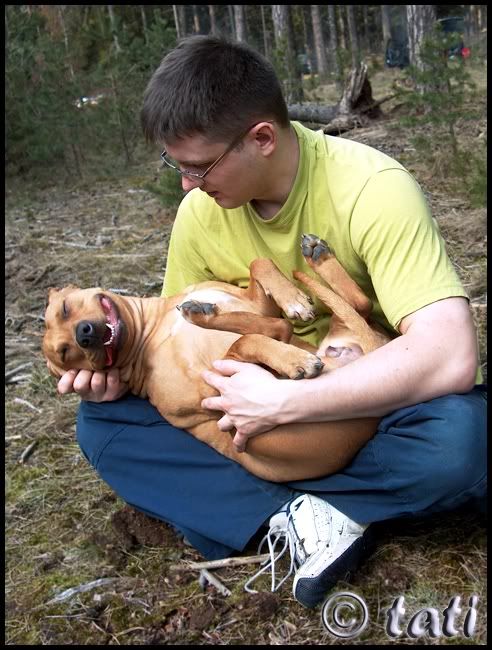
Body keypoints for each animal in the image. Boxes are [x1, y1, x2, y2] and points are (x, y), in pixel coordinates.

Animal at [43, 234, 390, 482]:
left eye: (65, 310)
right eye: (66, 355)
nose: (83, 335)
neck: (152, 330)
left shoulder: (256, 304)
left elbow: (259, 263)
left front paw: (290, 297)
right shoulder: (217, 385)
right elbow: (256, 336)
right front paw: (294, 359)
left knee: (357, 304)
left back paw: (318, 256)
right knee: (272, 330)